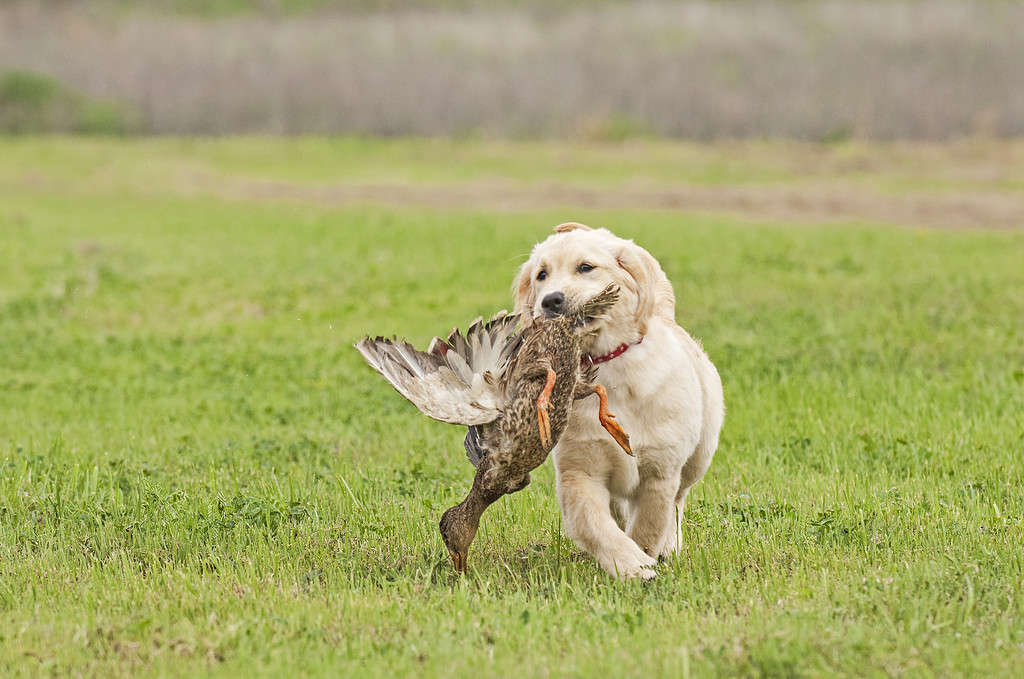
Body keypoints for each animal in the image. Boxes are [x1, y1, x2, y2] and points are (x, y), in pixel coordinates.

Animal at [509, 223, 720, 577]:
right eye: (541, 275)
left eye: (585, 267)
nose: (550, 300)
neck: (604, 365)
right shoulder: (578, 473)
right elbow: (596, 526)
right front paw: (632, 565)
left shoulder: (660, 472)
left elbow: (649, 526)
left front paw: (646, 558)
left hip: (698, 456)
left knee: (678, 502)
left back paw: (670, 545)